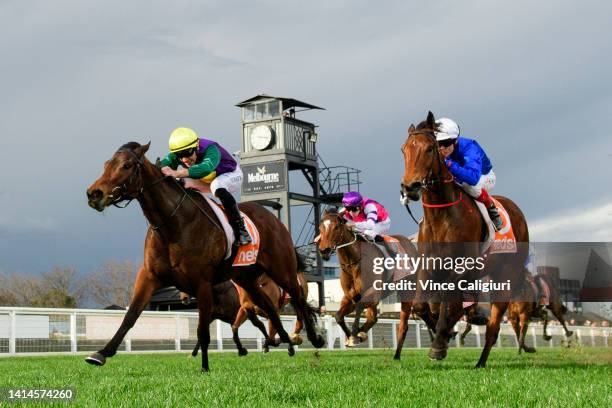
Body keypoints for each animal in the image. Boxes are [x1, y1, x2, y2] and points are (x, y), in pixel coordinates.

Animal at [87, 142, 326, 372]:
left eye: (126, 165)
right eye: (107, 164)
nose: (94, 194)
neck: (174, 224)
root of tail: (274, 219)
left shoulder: (202, 282)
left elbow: (203, 330)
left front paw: (204, 367)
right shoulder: (150, 276)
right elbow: (131, 316)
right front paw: (101, 353)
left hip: (282, 269)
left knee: (298, 299)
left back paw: (314, 338)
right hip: (246, 279)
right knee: (267, 305)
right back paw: (285, 341)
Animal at [400, 112, 528, 370]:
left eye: (430, 149)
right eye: (403, 150)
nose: (411, 187)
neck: (441, 217)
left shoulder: (459, 269)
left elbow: (449, 307)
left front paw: (439, 344)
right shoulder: (428, 267)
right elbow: (423, 307)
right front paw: (442, 335)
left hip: (505, 276)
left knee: (492, 327)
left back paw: (480, 361)